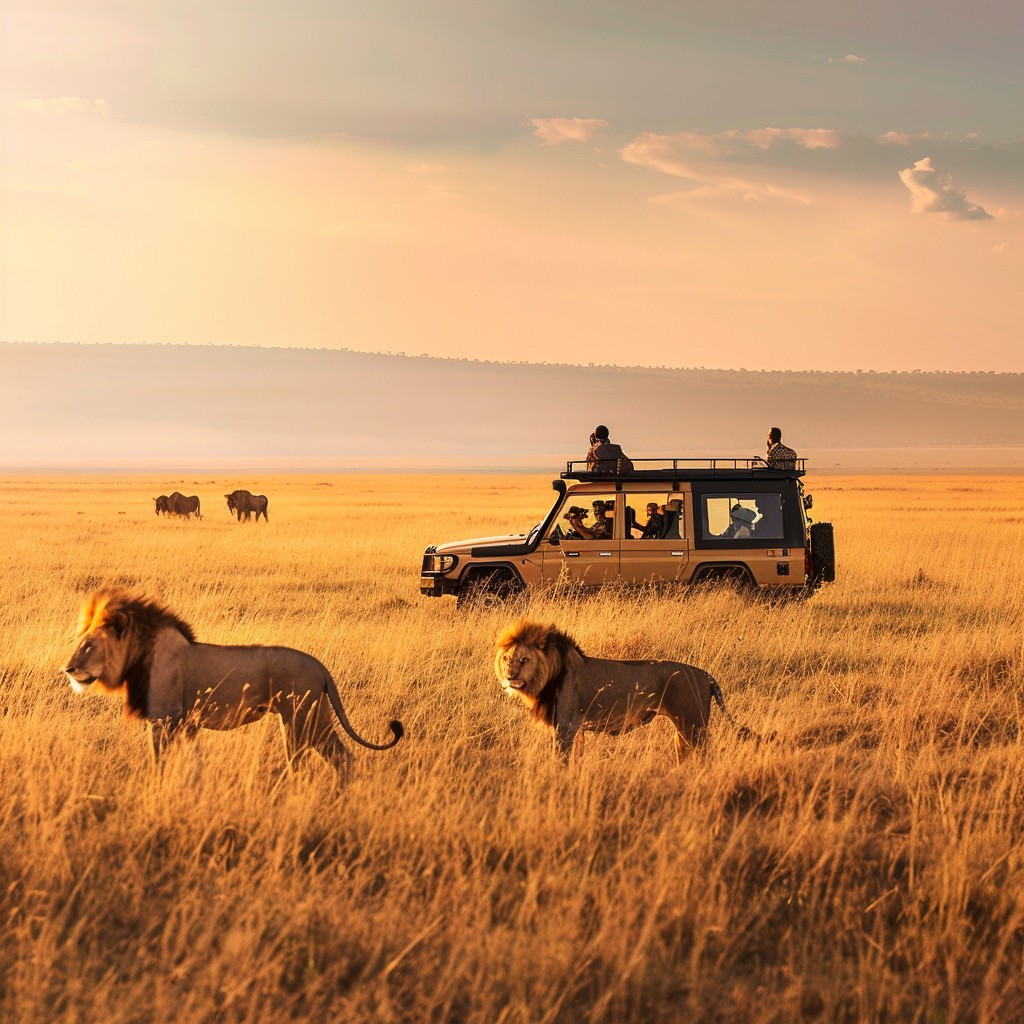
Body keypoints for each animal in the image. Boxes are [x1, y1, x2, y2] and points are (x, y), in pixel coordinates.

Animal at [65, 588, 403, 777]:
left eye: (89, 645)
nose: (68, 669)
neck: (140, 655)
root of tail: (321, 667)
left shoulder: (163, 720)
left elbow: (158, 760)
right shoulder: (185, 725)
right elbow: (189, 762)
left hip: (297, 718)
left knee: (301, 763)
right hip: (316, 717)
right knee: (343, 758)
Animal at [494, 619, 726, 762]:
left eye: (524, 660)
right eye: (506, 658)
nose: (510, 676)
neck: (550, 675)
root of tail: (705, 675)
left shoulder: (565, 727)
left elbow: (561, 761)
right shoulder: (577, 729)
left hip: (693, 726)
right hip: (685, 730)